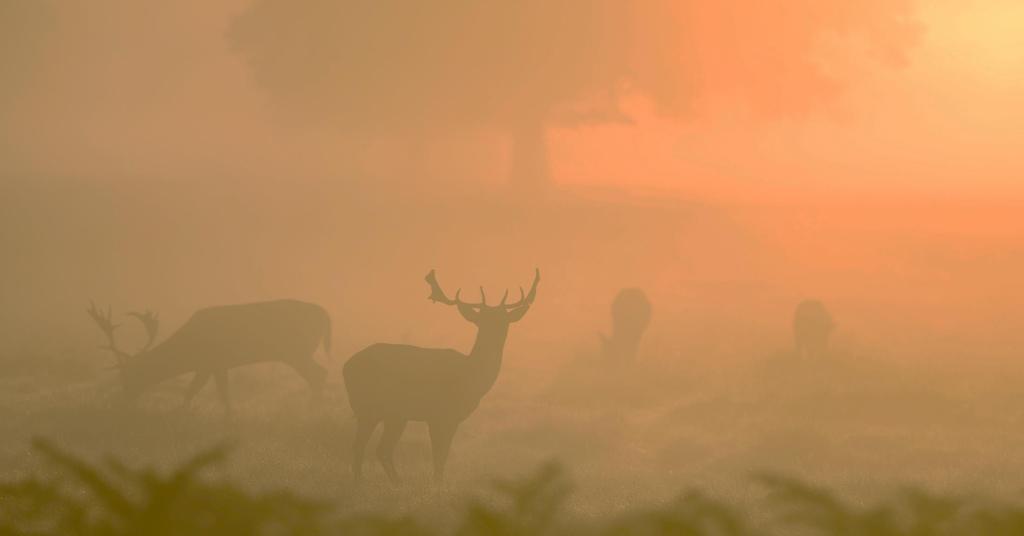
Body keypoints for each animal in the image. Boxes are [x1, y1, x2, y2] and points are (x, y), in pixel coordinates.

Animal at [88, 299, 329, 414]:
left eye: (130, 374)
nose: (123, 401)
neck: (190, 350)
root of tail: (326, 315)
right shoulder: (214, 365)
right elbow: (216, 391)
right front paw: (228, 415)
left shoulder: (211, 362)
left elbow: (197, 390)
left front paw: (182, 412)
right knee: (319, 374)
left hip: (296, 351)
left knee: (319, 374)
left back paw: (313, 410)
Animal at [344, 270, 540, 483]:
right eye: (481, 320)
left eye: (504, 320)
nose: (495, 334)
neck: (472, 378)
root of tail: (346, 367)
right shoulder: (440, 414)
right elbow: (440, 455)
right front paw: (437, 482)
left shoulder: (448, 417)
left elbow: (442, 455)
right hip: (369, 407)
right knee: (363, 446)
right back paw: (364, 481)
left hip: (393, 414)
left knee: (380, 449)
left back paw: (393, 482)